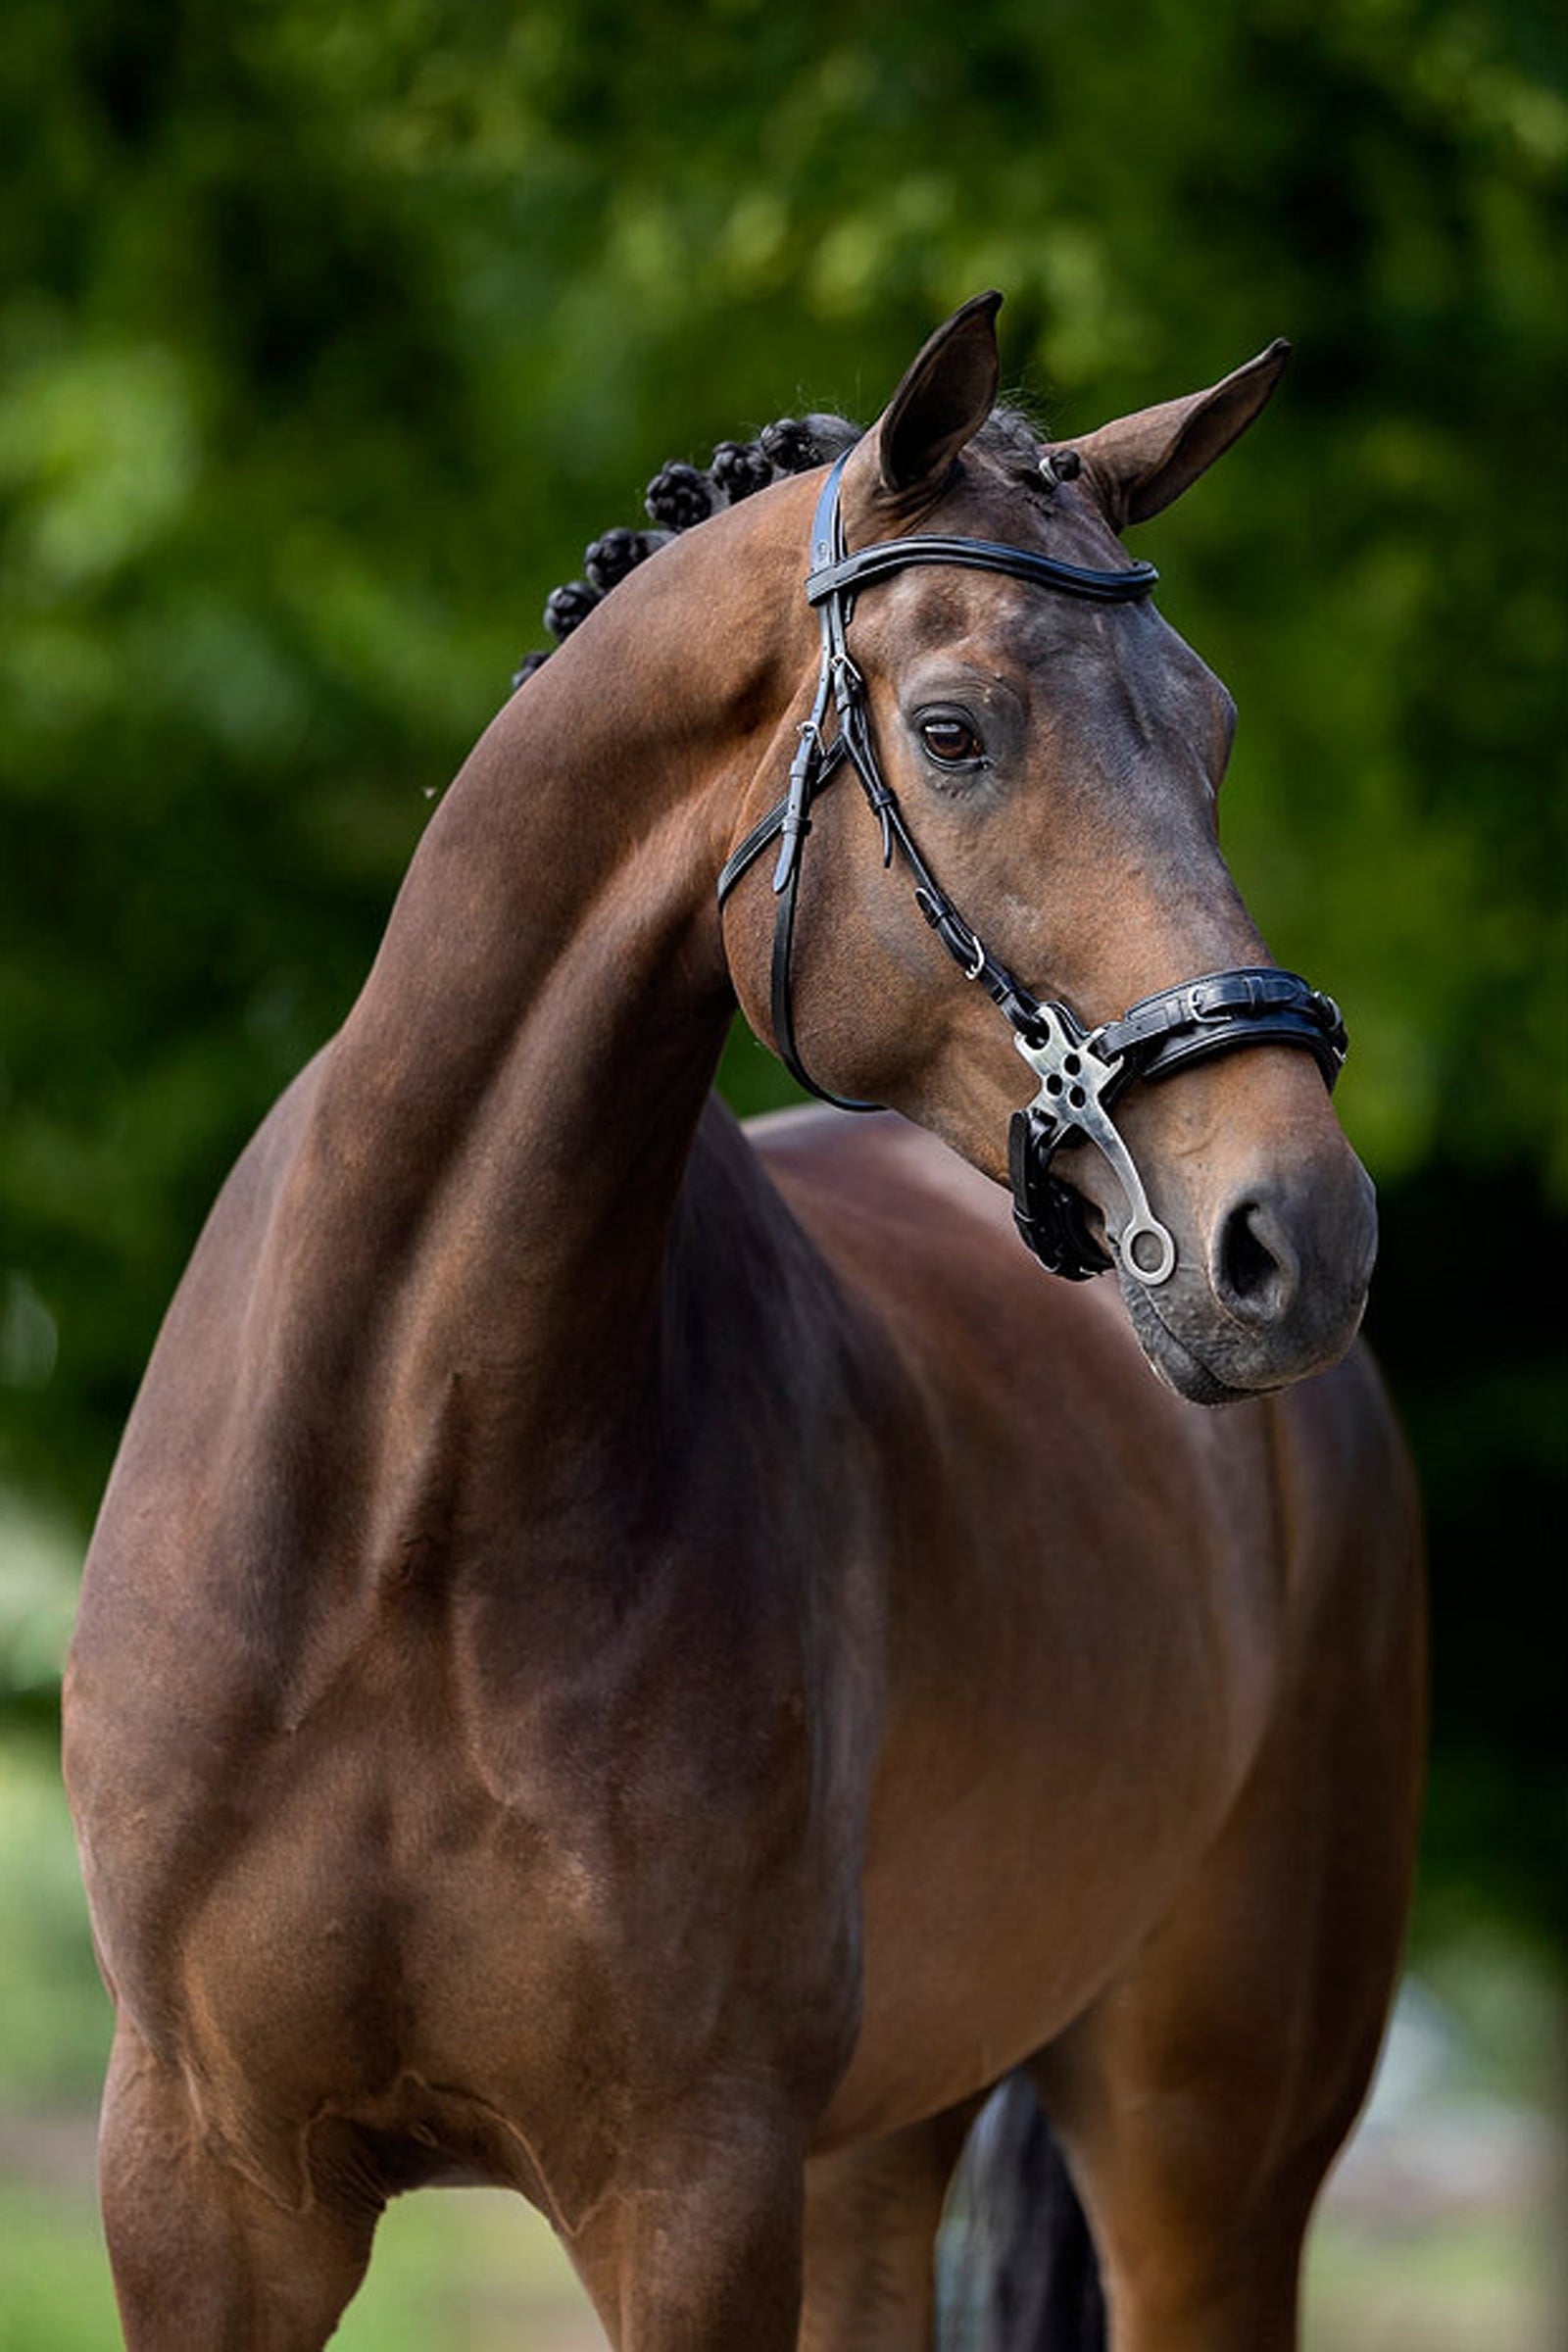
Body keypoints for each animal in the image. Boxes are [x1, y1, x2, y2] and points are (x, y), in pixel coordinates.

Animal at [63, 293, 1424, 2351]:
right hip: (882, 2150)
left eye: (1214, 732)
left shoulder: (688, 2189)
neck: (394, 1504)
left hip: (1207, 2159)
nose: (1299, 1236)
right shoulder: (204, 2195)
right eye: (952, 731)